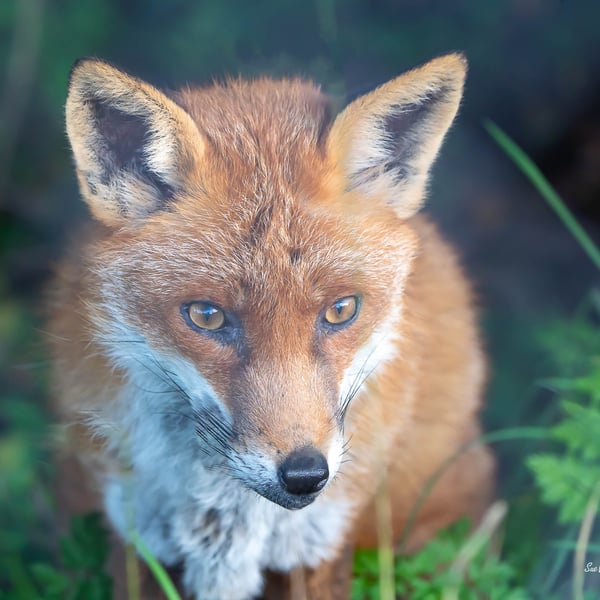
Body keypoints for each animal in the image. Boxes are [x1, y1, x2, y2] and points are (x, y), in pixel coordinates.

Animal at [49, 52, 494, 600]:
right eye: (207, 316)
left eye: (341, 310)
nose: (304, 475)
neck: (232, 521)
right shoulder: (136, 539)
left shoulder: (318, 548)